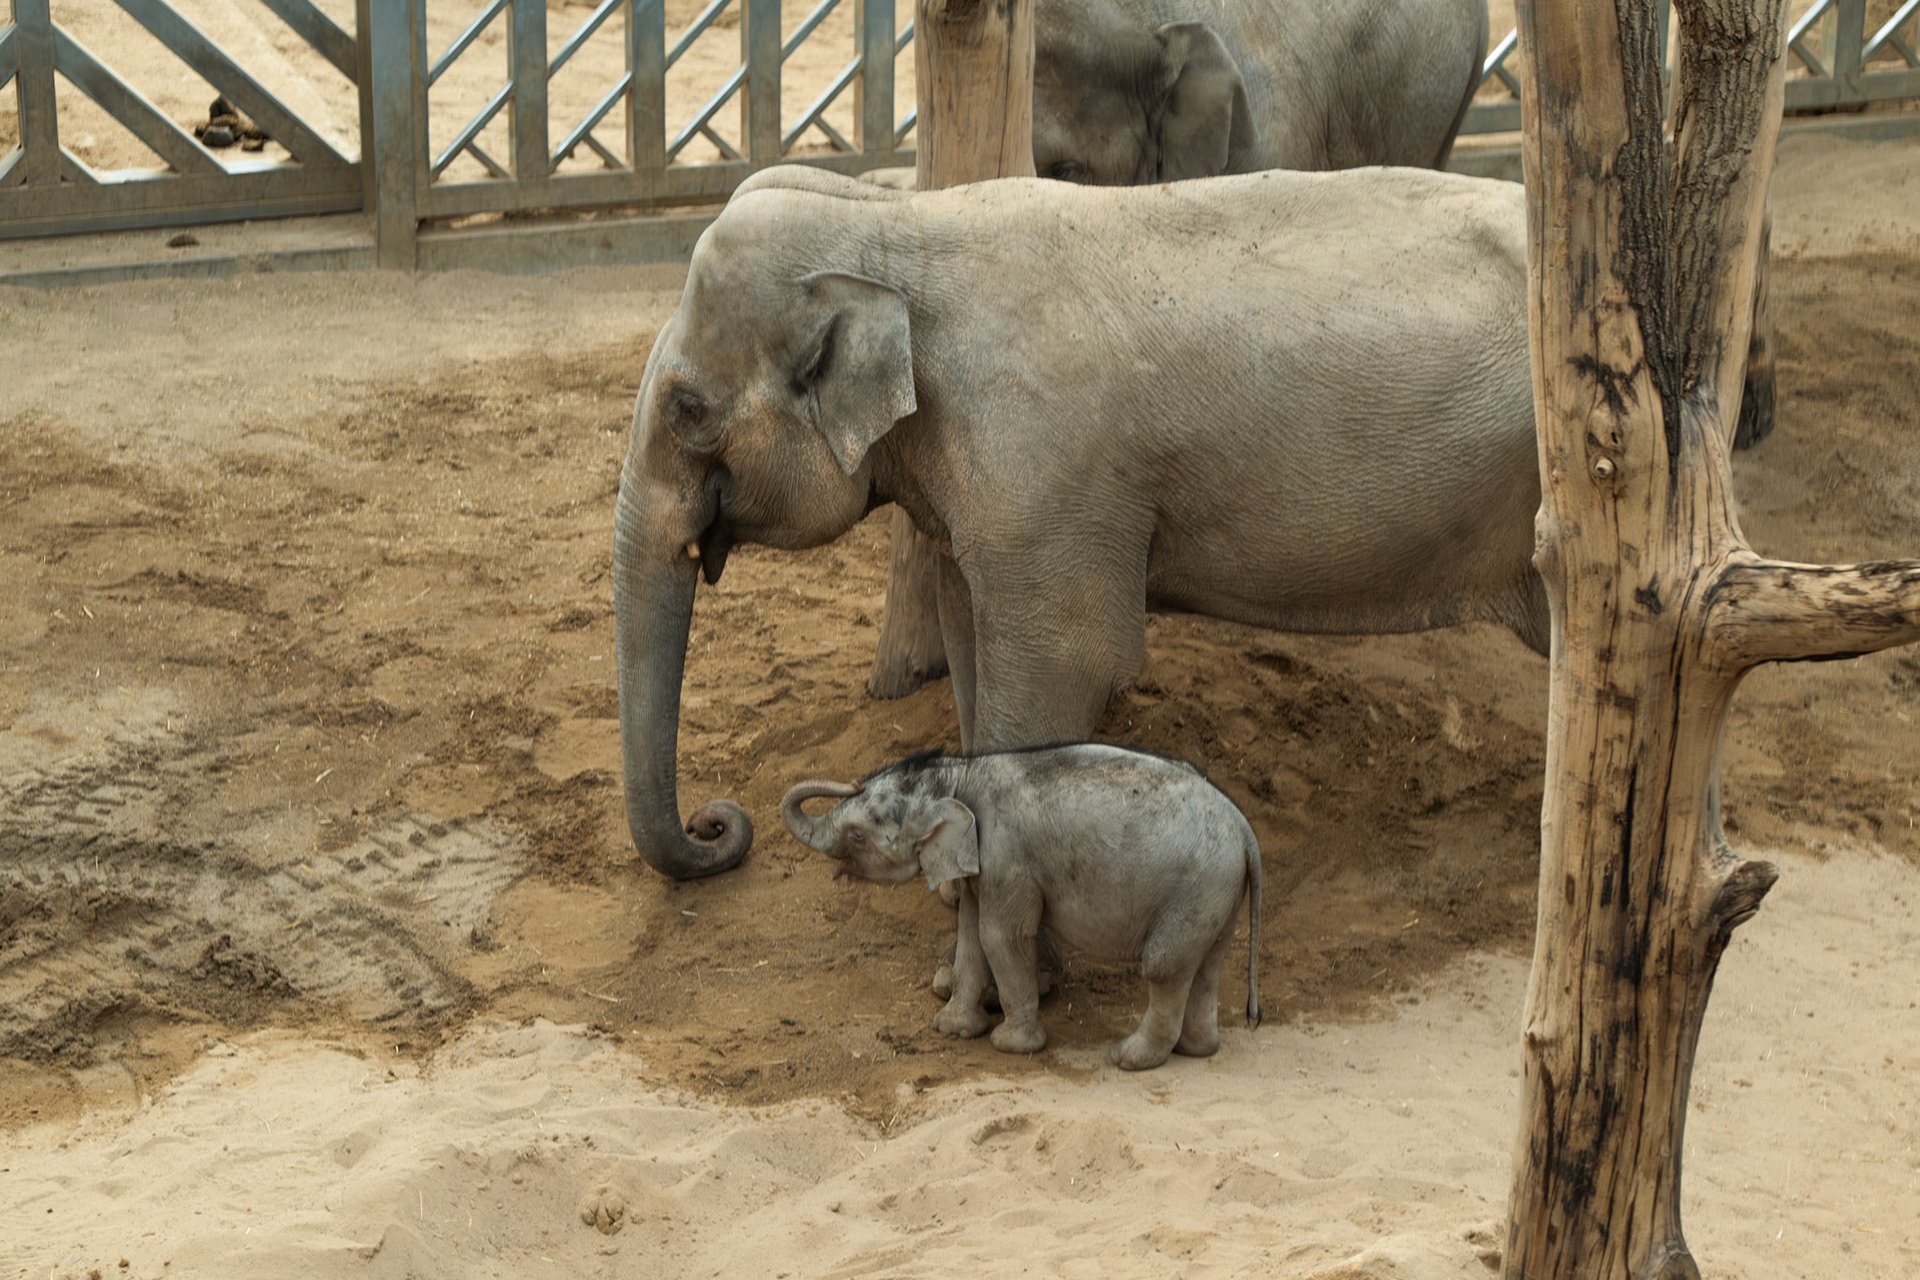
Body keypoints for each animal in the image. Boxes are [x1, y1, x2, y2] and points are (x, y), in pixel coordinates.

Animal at [612, 162, 1546, 881]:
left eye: (689, 412)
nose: (716, 823)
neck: (896, 223)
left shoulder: (1046, 470)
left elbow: (1066, 667)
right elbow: (971, 645)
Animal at [782, 743, 1262, 1069]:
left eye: (858, 834)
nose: (854, 780)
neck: (960, 773)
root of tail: (1246, 830)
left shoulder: (1007, 854)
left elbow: (1000, 936)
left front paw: (1008, 1045)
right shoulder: (981, 863)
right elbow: (971, 934)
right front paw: (952, 1029)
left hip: (1196, 888)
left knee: (1165, 966)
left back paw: (1129, 1058)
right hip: (1216, 893)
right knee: (1207, 965)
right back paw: (1196, 1050)